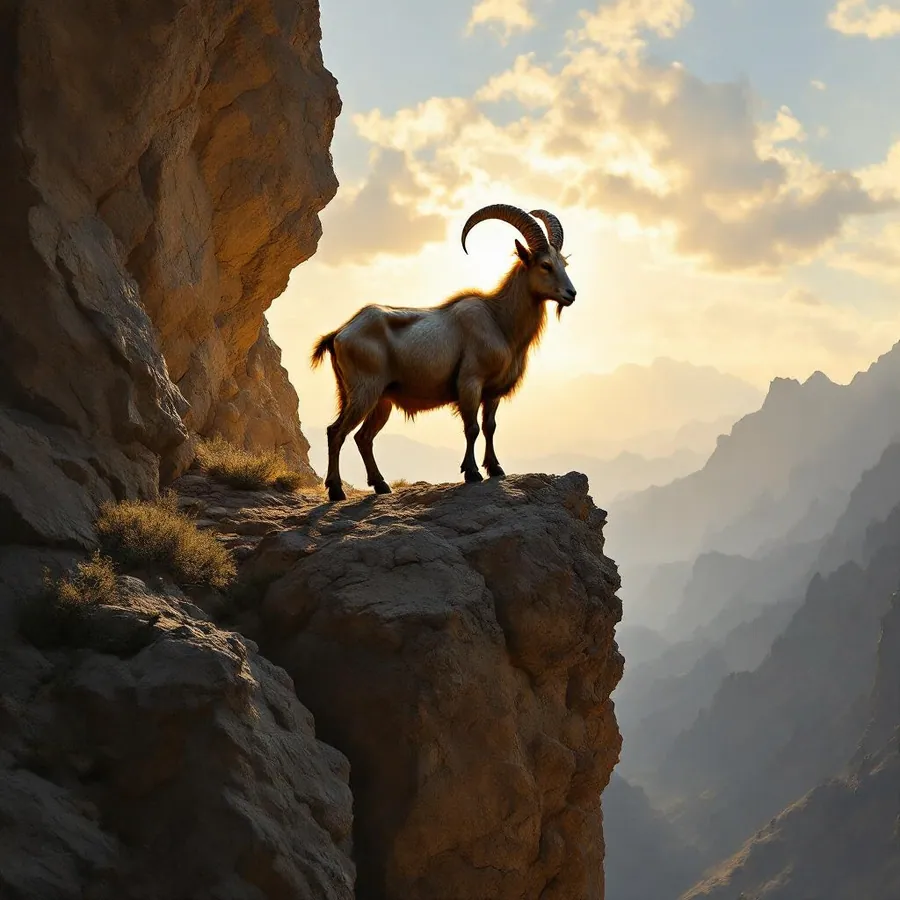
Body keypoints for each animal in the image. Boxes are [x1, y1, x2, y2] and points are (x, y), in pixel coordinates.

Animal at [310, 203, 576, 501]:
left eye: (564, 264)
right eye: (545, 265)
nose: (571, 293)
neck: (499, 321)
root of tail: (339, 333)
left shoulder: (492, 392)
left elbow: (490, 427)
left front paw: (495, 468)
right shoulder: (470, 382)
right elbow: (471, 427)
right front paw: (471, 472)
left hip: (380, 400)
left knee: (363, 437)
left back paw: (381, 485)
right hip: (364, 391)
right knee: (337, 432)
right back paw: (336, 491)